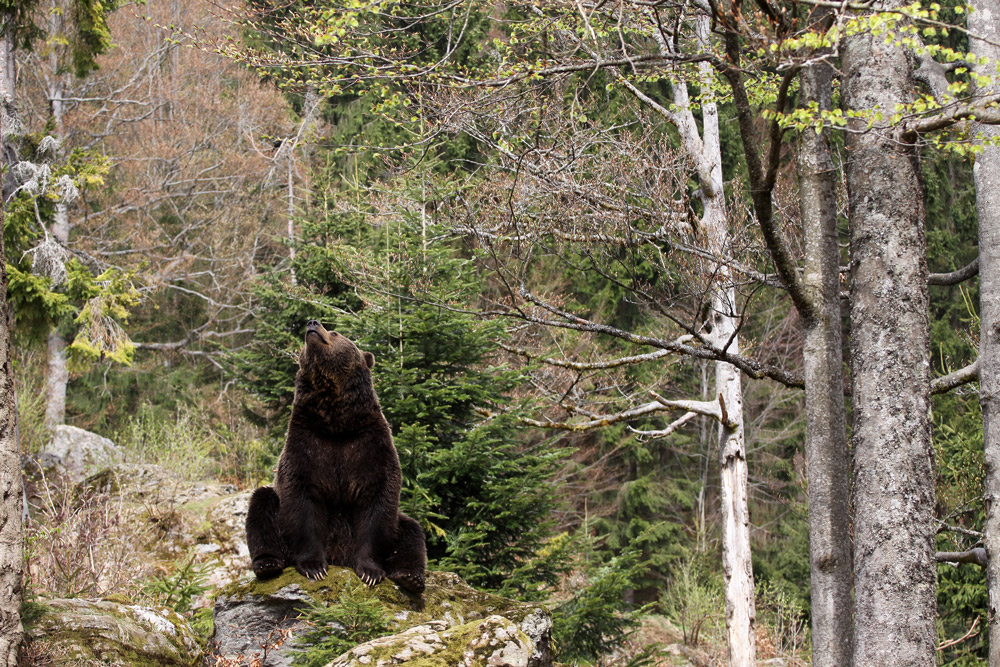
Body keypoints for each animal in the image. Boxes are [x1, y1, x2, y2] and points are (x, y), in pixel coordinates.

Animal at [245, 320, 427, 595]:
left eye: (335, 332)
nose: (312, 323)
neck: (337, 421)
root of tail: (340, 558)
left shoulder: (370, 445)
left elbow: (377, 502)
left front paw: (371, 571)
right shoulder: (307, 443)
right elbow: (301, 500)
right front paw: (314, 566)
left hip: (399, 524)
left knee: (411, 530)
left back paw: (410, 577)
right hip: (275, 518)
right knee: (261, 506)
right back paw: (267, 563)